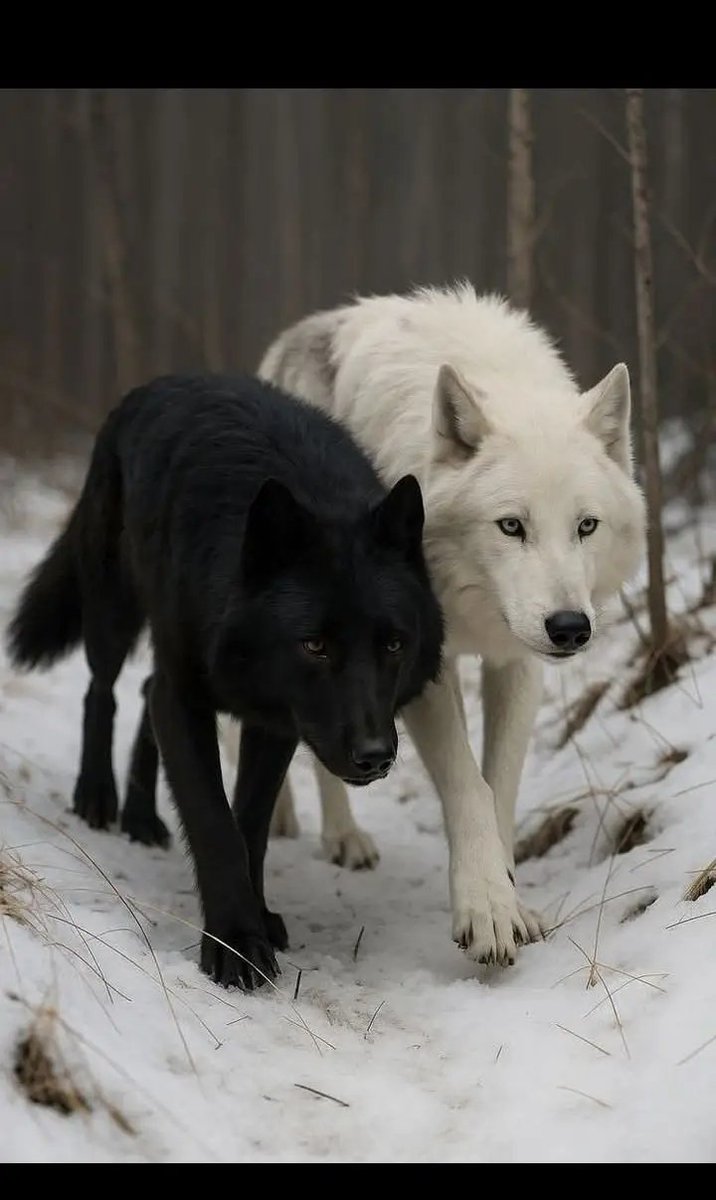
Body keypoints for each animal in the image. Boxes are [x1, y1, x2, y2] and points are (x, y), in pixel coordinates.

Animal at [6, 374, 443, 990]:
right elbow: (213, 822)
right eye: (314, 645)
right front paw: (235, 947)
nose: (374, 755)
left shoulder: (276, 721)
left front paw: (257, 917)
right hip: (114, 609)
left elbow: (249, 825)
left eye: (394, 644)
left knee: (143, 693)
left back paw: (140, 817)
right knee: (102, 690)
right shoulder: (189, 701)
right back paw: (96, 797)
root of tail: (159, 383)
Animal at [249, 283, 646, 967]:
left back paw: (343, 837)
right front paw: (487, 911)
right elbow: (468, 784)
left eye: (586, 526)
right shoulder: (418, 664)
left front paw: (510, 900)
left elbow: (499, 787)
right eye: (511, 526)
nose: (570, 628)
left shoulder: (514, 662)